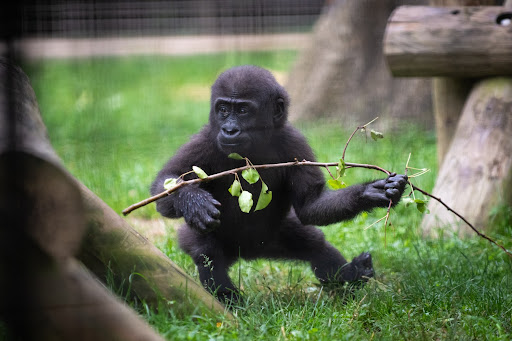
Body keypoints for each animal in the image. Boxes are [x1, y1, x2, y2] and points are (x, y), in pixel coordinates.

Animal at [150, 65, 406, 302]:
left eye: (242, 110)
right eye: (222, 110)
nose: (229, 129)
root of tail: (245, 254)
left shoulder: (295, 143)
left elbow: (310, 206)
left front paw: (371, 192)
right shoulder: (205, 141)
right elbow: (166, 186)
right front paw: (193, 201)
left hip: (272, 239)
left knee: (313, 243)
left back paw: (350, 274)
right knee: (207, 251)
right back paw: (228, 300)